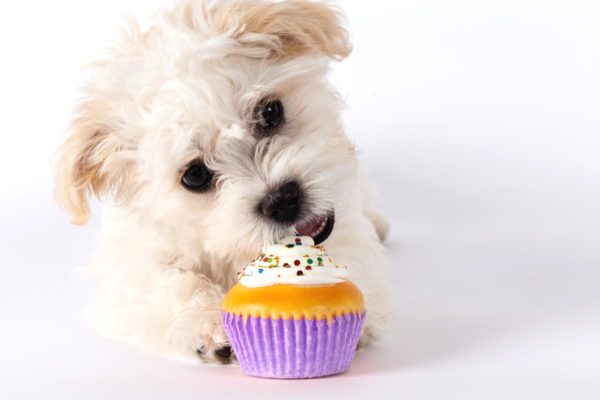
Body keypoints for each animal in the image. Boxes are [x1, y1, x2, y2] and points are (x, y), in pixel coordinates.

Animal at [56, 0, 392, 362]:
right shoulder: (127, 263)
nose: (282, 200)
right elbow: (164, 280)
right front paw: (208, 324)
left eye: (269, 112)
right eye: (195, 176)